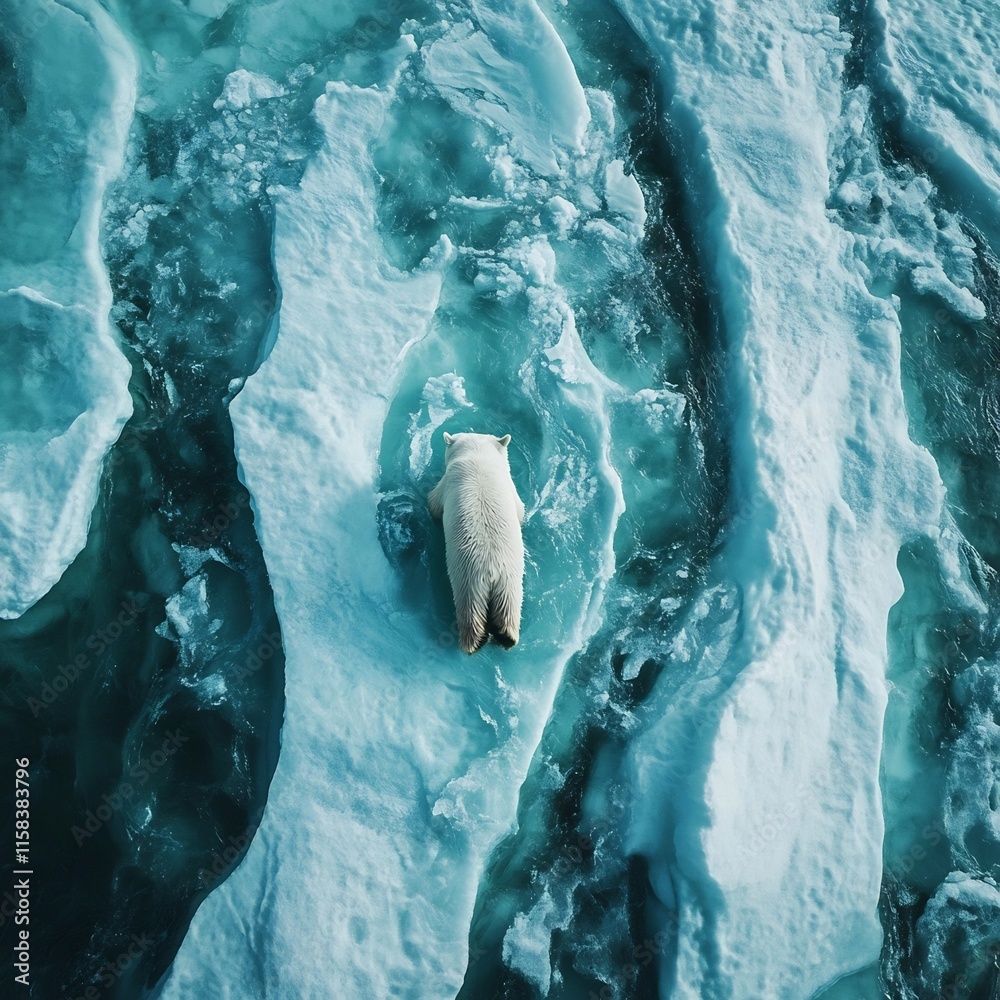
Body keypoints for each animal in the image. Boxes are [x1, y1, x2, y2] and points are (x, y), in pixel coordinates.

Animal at [428, 431, 525, 654]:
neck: (479, 456)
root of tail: (492, 571)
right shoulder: (512, 488)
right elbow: (520, 510)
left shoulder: (447, 481)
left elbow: (433, 503)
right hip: (509, 579)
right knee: (509, 605)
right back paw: (506, 636)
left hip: (468, 578)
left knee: (470, 611)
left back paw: (472, 643)